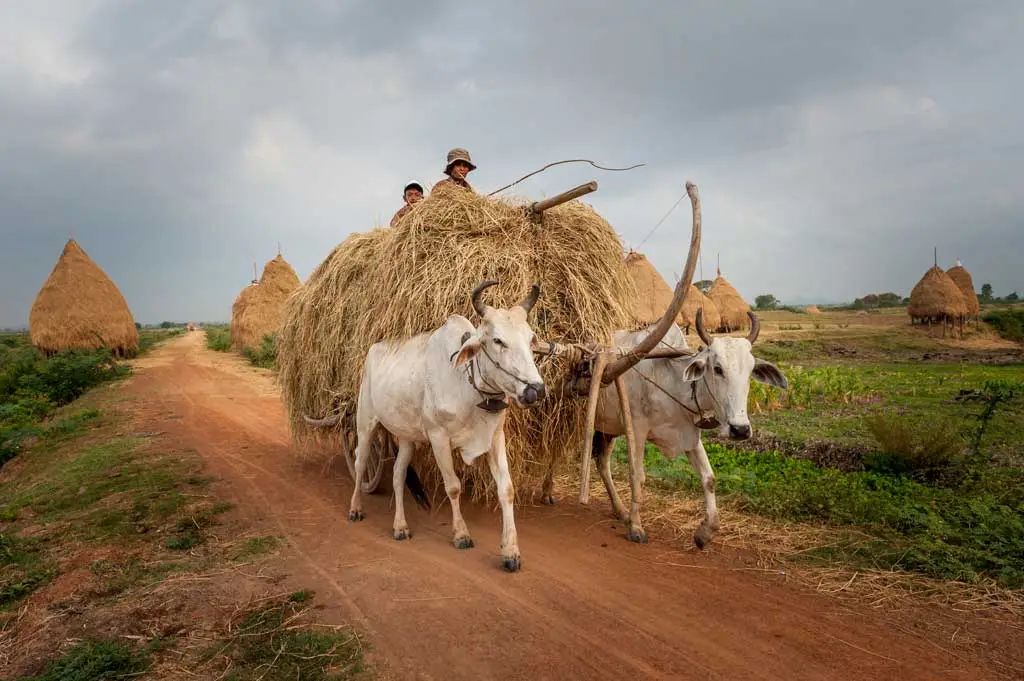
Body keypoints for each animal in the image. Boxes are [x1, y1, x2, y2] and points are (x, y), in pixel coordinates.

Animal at [344, 280, 547, 572]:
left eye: (531, 339)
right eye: (497, 340)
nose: (535, 391)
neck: (468, 384)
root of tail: (374, 348)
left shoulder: (495, 438)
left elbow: (506, 489)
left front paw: (511, 551)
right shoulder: (438, 438)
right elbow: (453, 486)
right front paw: (461, 534)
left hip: (407, 438)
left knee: (397, 474)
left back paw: (400, 526)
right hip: (365, 422)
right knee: (360, 463)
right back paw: (355, 508)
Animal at [541, 308, 788, 549]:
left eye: (751, 371)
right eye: (718, 369)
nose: (740, 430)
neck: (670, 378)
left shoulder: (690, 434)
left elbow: (709, 478)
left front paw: (705, 532)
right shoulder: (637, 430)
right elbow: (637, 477)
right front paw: (636, 527)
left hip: (607, 427)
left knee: (602, 462)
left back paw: (619, 510)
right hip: (562, 419)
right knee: (552, 451)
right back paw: (547, 492)